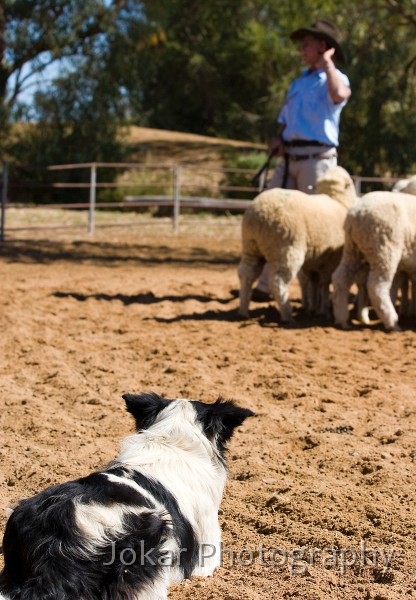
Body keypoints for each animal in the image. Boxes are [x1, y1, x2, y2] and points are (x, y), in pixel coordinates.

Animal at [239, 164, 356, 324]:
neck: (338, 200)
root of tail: (258, 213)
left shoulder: (314, 262)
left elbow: (314, 283)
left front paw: (313, 308)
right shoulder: (329, 262)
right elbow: (324, 285)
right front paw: (323, 310)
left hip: (251, 247)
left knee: (246, 275)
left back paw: (243, 311)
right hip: (287, 249)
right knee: (277, 281)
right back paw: (287, 314)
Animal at [332, 190, 416, 330]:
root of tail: (355, 213)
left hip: (353, 249)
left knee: (340, 278)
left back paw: (342, 318)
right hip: (384, 247)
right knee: (376, 286)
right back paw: (392, 323)